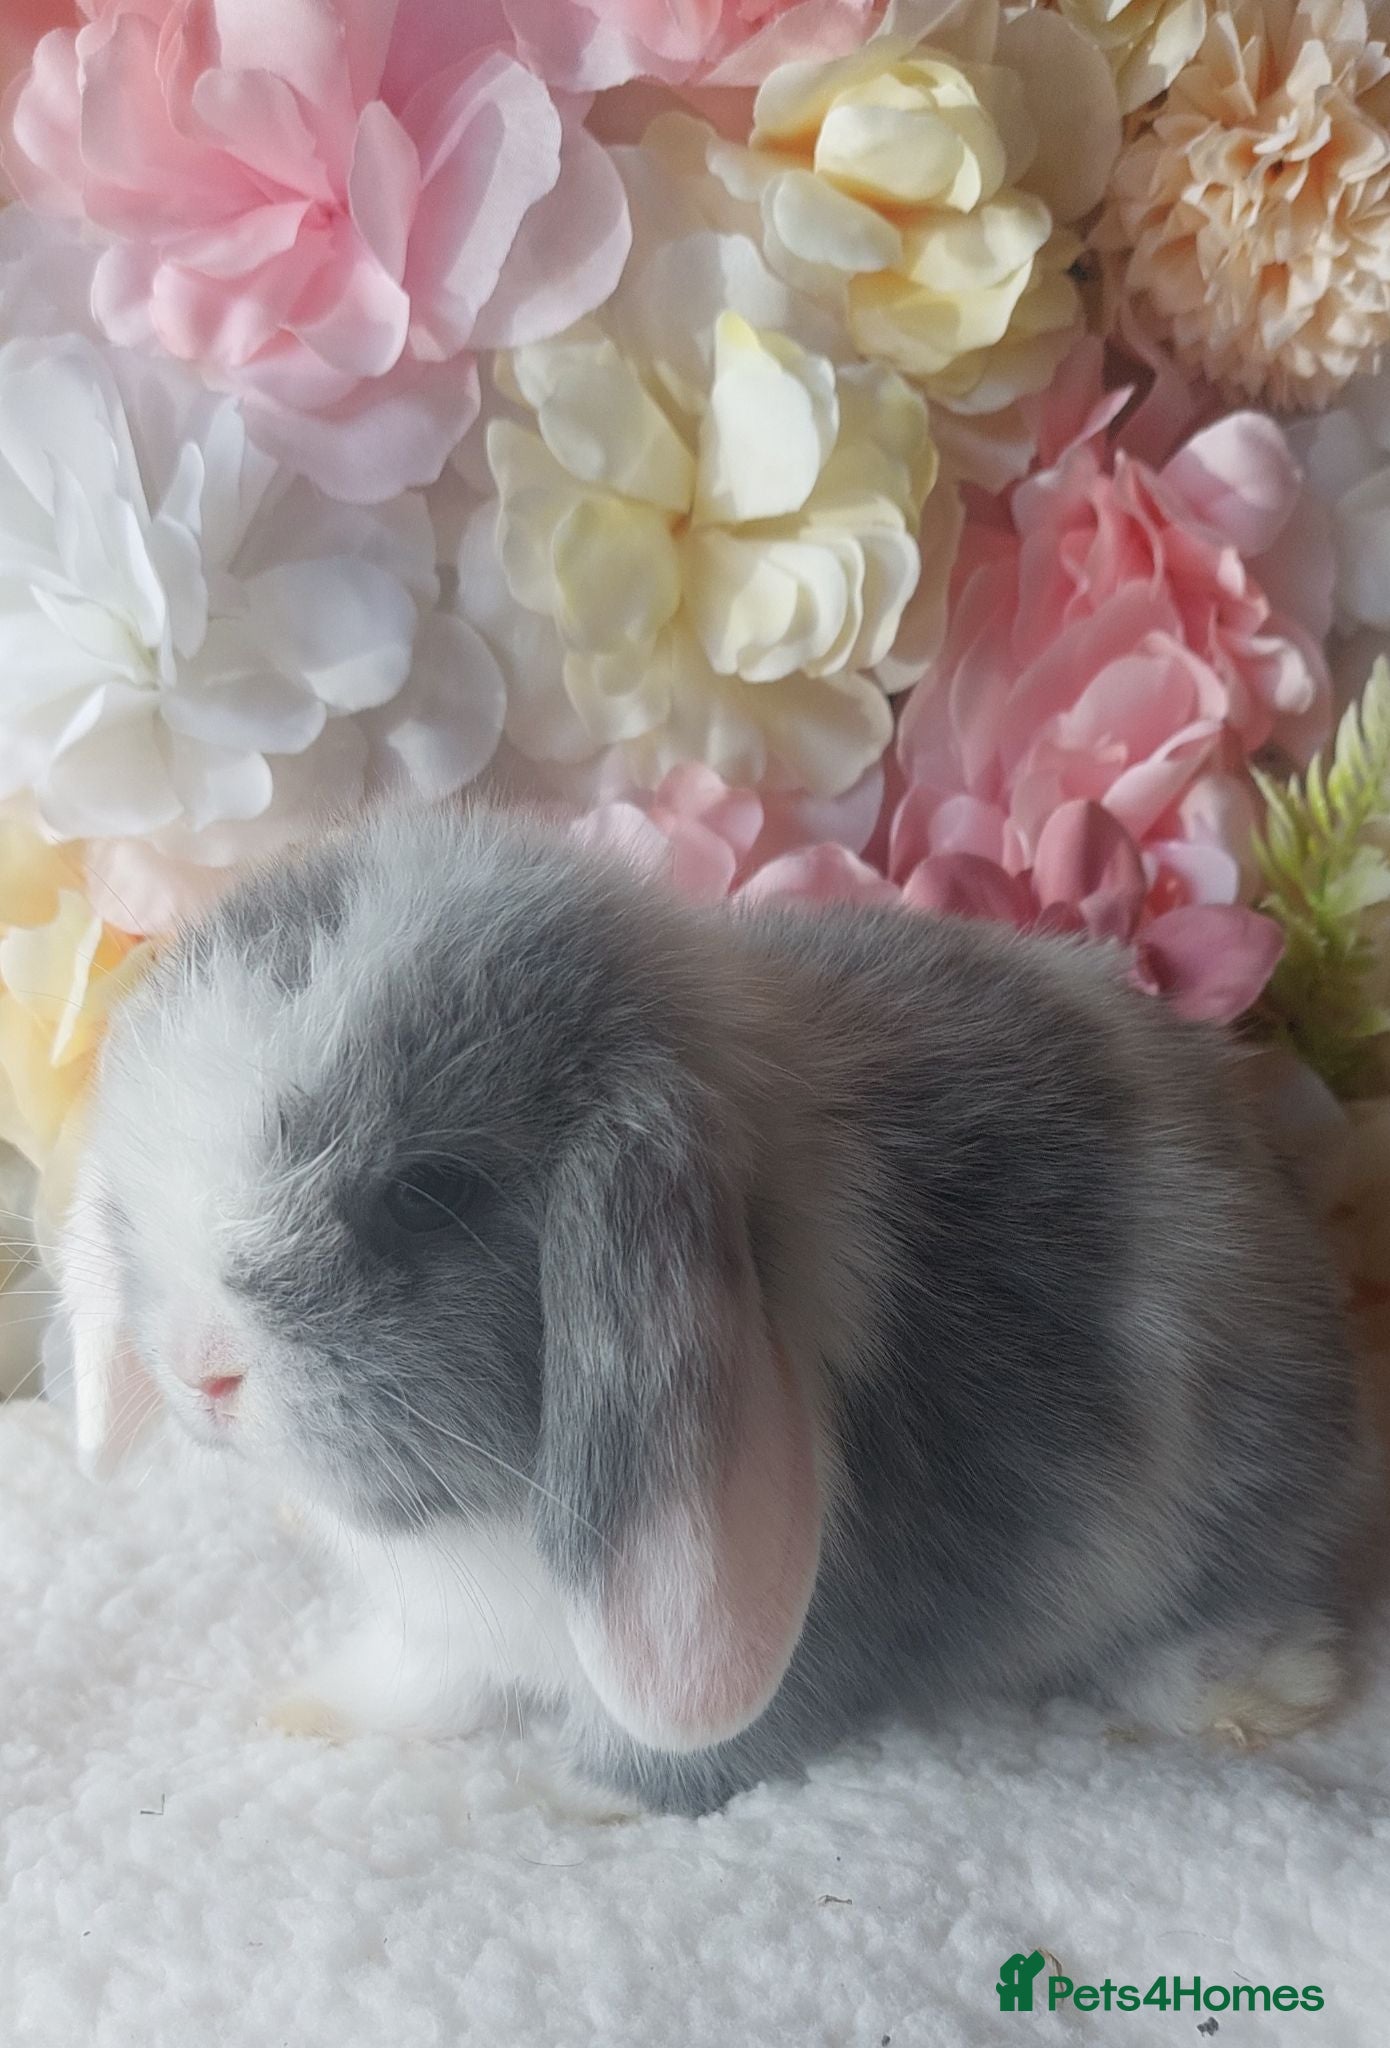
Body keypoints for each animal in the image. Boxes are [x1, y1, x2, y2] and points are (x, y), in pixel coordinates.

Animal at [59, 804, 1378, 1817]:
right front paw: (318, 1710)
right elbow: (424, 1675)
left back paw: (1255, 1690)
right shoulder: (446, 1627)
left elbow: (681, 1751)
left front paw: (563, 1800)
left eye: (427, 1193)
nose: (198, 1369)